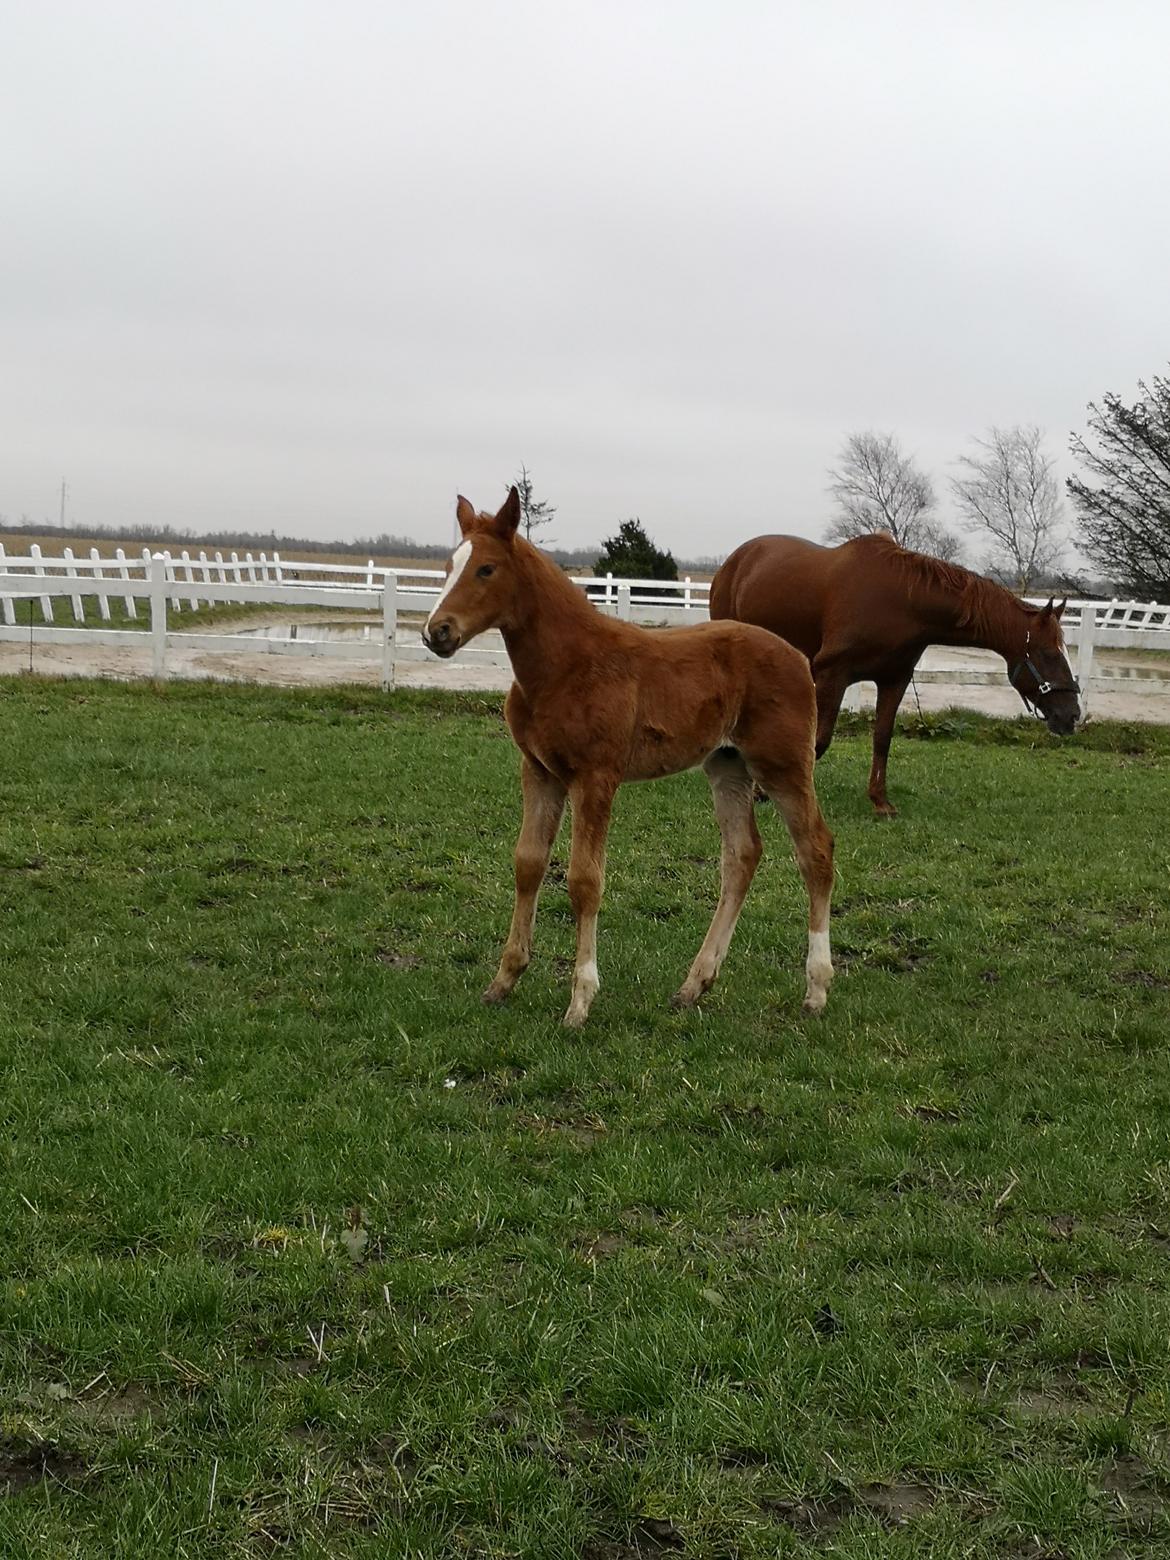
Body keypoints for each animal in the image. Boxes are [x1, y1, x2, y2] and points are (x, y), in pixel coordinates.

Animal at [427, 486, 836, 1023]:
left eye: (487, 569)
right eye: (448, 565)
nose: (437, 632)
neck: (564, 667)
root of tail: (799, 657)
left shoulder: (595, 777)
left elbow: (584, 880)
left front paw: (580, 1001)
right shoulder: (538, 771)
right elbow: (528, 864)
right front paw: (504, 980)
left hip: (783, 765)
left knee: (816, 851)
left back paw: (816, 990)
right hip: (727, 765)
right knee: (742, 855)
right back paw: (694, 984)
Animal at [705, 533, 1079, 817]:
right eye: (1049, 654)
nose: (1071, 715)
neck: (902, 602)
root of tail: (735, 560)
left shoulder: (894, 680)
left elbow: (882, 738)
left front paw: (880, 801)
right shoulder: (832, 675)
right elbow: (819, 742)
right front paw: (769, 794)